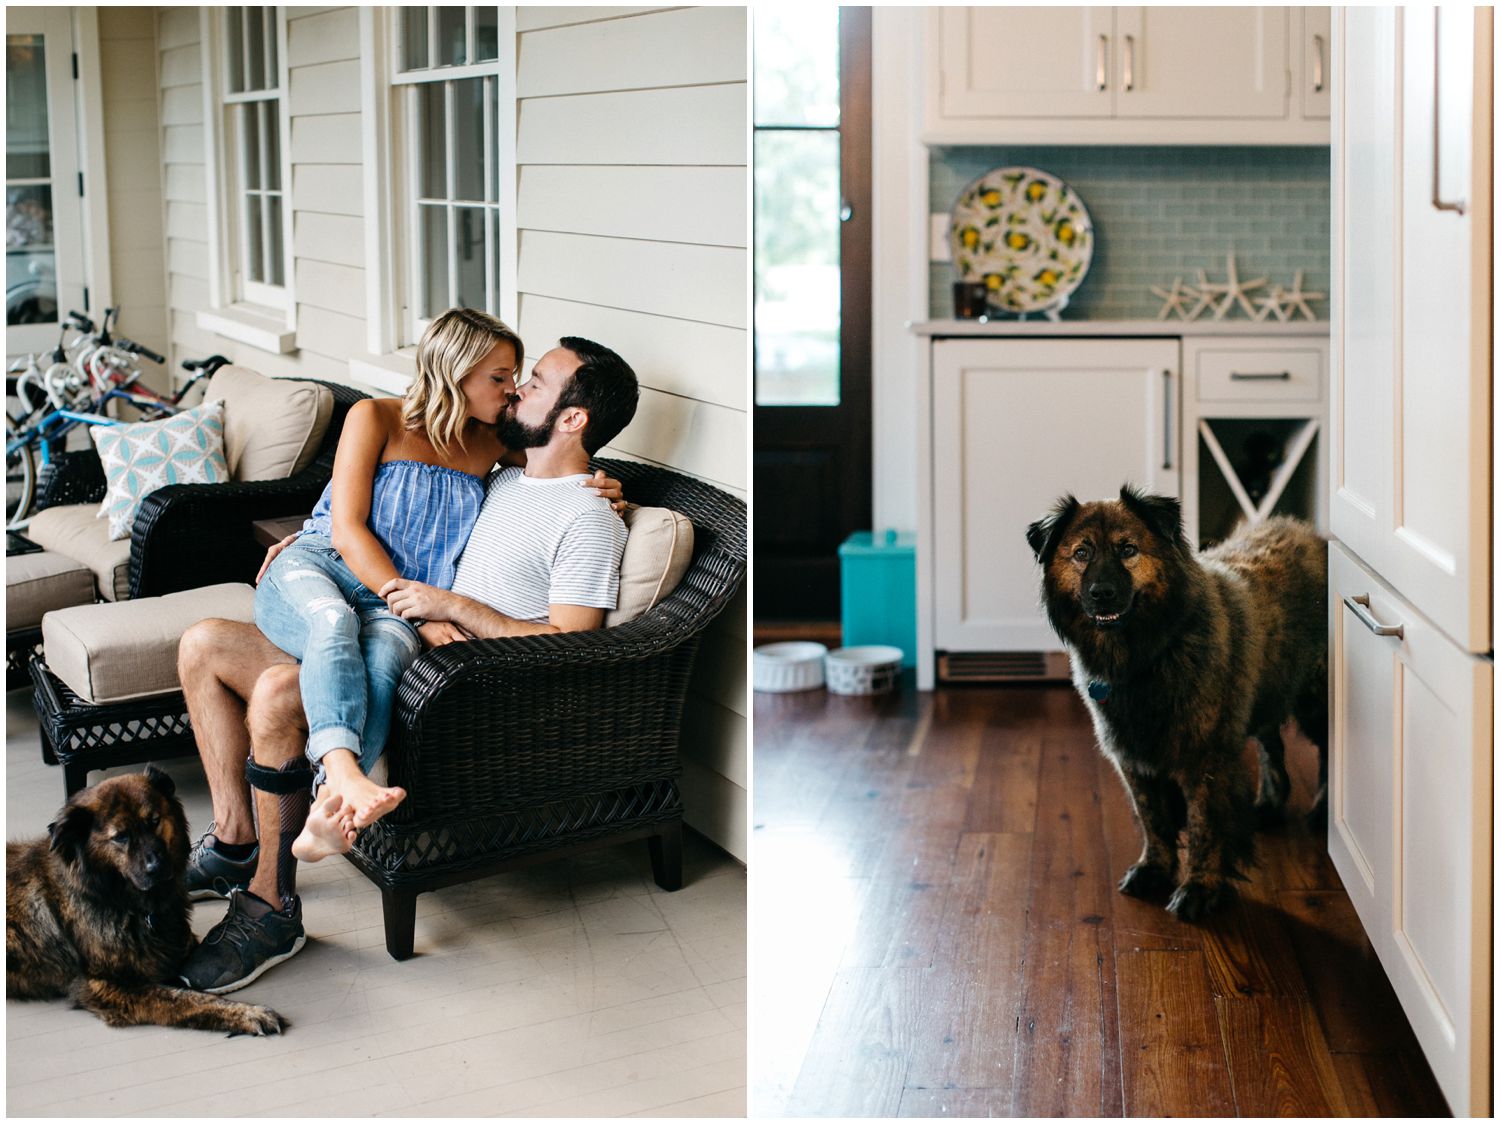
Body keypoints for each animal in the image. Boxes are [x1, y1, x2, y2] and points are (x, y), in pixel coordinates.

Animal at [5, 768, 283, 1032]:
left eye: (154, 821)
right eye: (120, 837)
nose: (156, 868)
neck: (126, 905)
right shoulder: (108, 986)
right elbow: (185, 999)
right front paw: (248, 1013)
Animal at [1026, 483, 1332, 918]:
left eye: (1127, 549)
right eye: (1081, 553)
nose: (1102, 595)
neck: (1147, 655)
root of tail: (1311, 535)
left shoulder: (1204, 758)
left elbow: (1204, 826)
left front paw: (1198, 889)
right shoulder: (1132, 758)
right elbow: (1152, 821)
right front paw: (1154, 869)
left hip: (1315, 704)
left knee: (1329, 753)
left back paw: (1323, 812)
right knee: (1272, 747)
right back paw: (1269, 806)